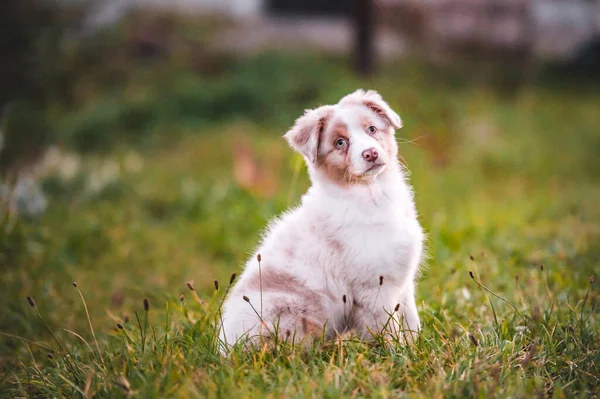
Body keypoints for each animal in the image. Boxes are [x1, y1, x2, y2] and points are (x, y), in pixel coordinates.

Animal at [221, 89, 426, 348]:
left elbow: (411, 322)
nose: (371, 154)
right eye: (340, 143)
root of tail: (225, 350)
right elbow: (388, 330)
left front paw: (417, 348)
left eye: (371, 129)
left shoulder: (402, 283)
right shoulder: (374, 287)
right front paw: (396, 353)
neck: (372, 193)